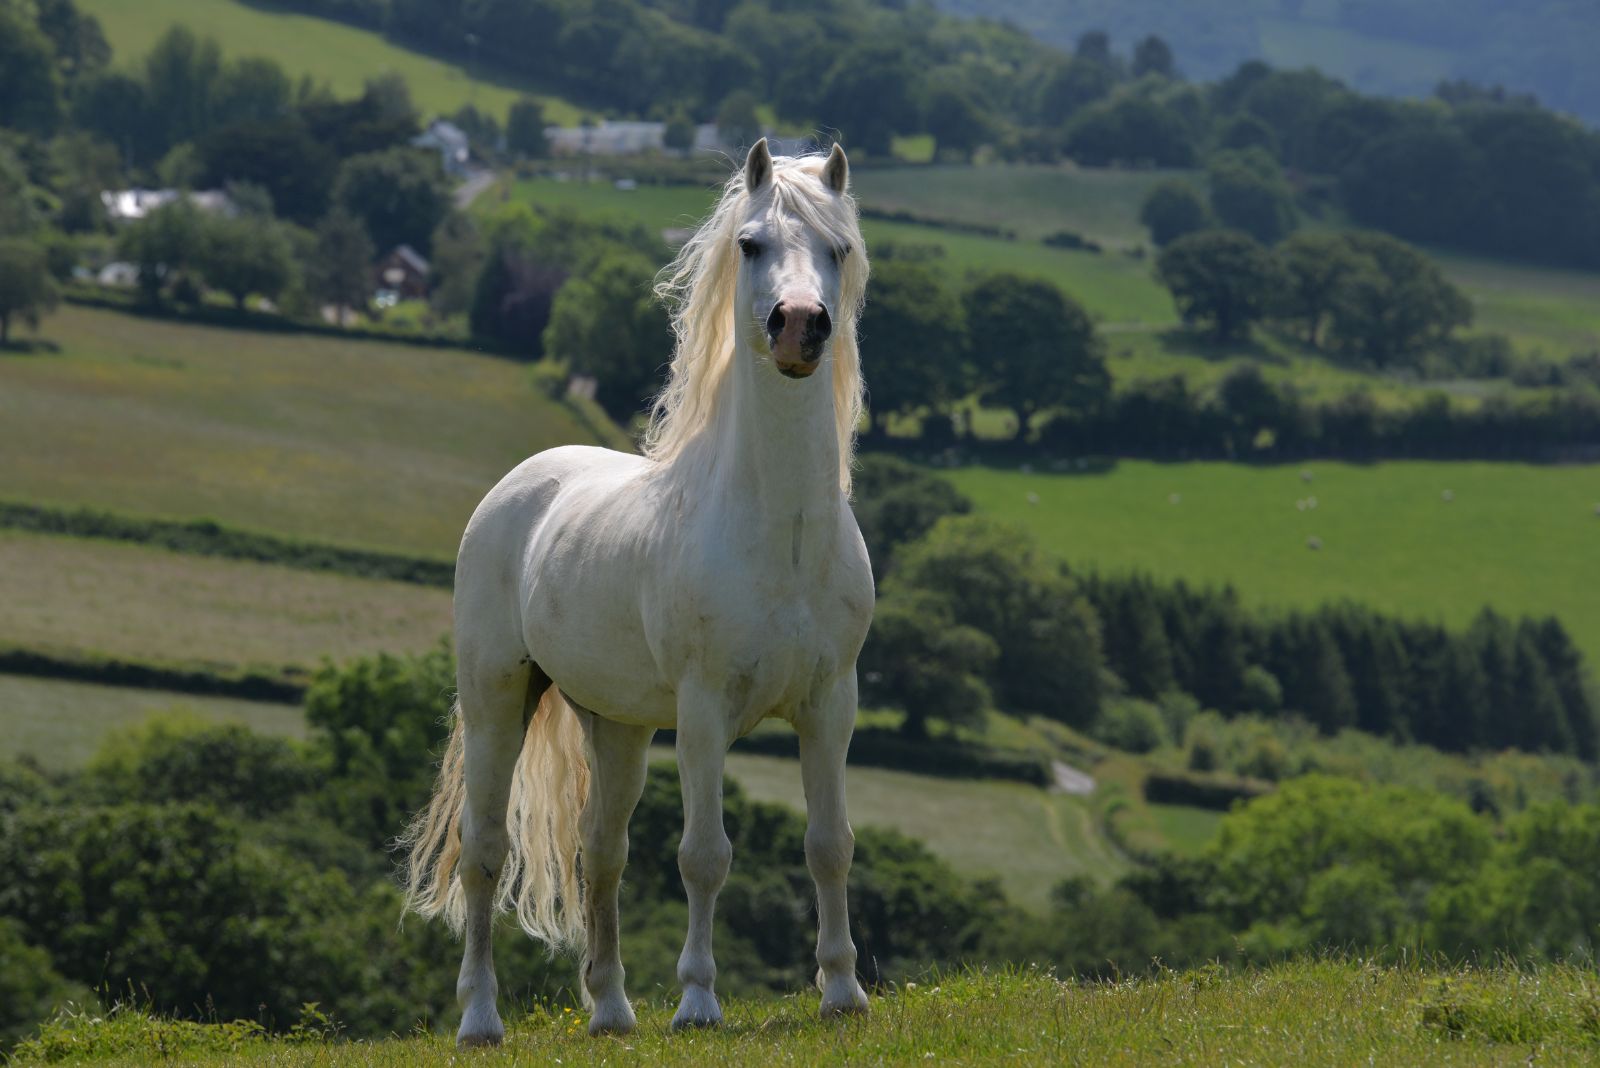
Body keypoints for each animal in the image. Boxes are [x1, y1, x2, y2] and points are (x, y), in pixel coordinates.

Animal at [400, 139, 876, 1042]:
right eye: (751, 244)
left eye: (837, 249)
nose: (800, 326)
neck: (781, 533)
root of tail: (521, 484)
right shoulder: (703, 712)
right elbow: (705, 855)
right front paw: (698, 1001)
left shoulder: (830, 704)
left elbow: (830, 842)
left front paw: (842, 992)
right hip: (496, 697)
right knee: (485, 852)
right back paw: (480, 1018)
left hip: (616, 726)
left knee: (601, 853)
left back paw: (612, 1010)